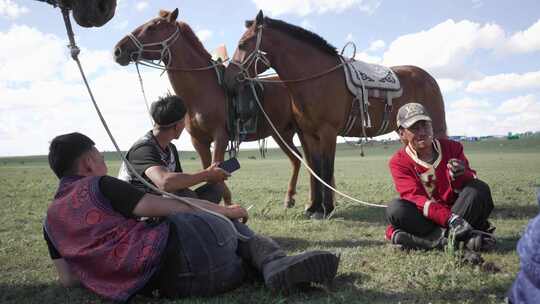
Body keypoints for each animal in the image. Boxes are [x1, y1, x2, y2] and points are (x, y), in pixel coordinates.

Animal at [113, 9, 304, 208]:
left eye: (151, 27)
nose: (118, 50)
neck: (200, 91)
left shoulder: (220, 137)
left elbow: (216, 171)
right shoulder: (199, 141)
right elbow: (209, 171)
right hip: (281, 134)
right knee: (296, 160)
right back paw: (289, 199)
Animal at [224, 10, 448, 218]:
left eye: (242, 44)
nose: (229, 78)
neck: (316, 79)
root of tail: (428, 77)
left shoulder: (328, 132)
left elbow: (326, 168)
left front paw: (326, 209)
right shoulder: (309, 134)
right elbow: (315, 168)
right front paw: (313, 207)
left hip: (433, 128)